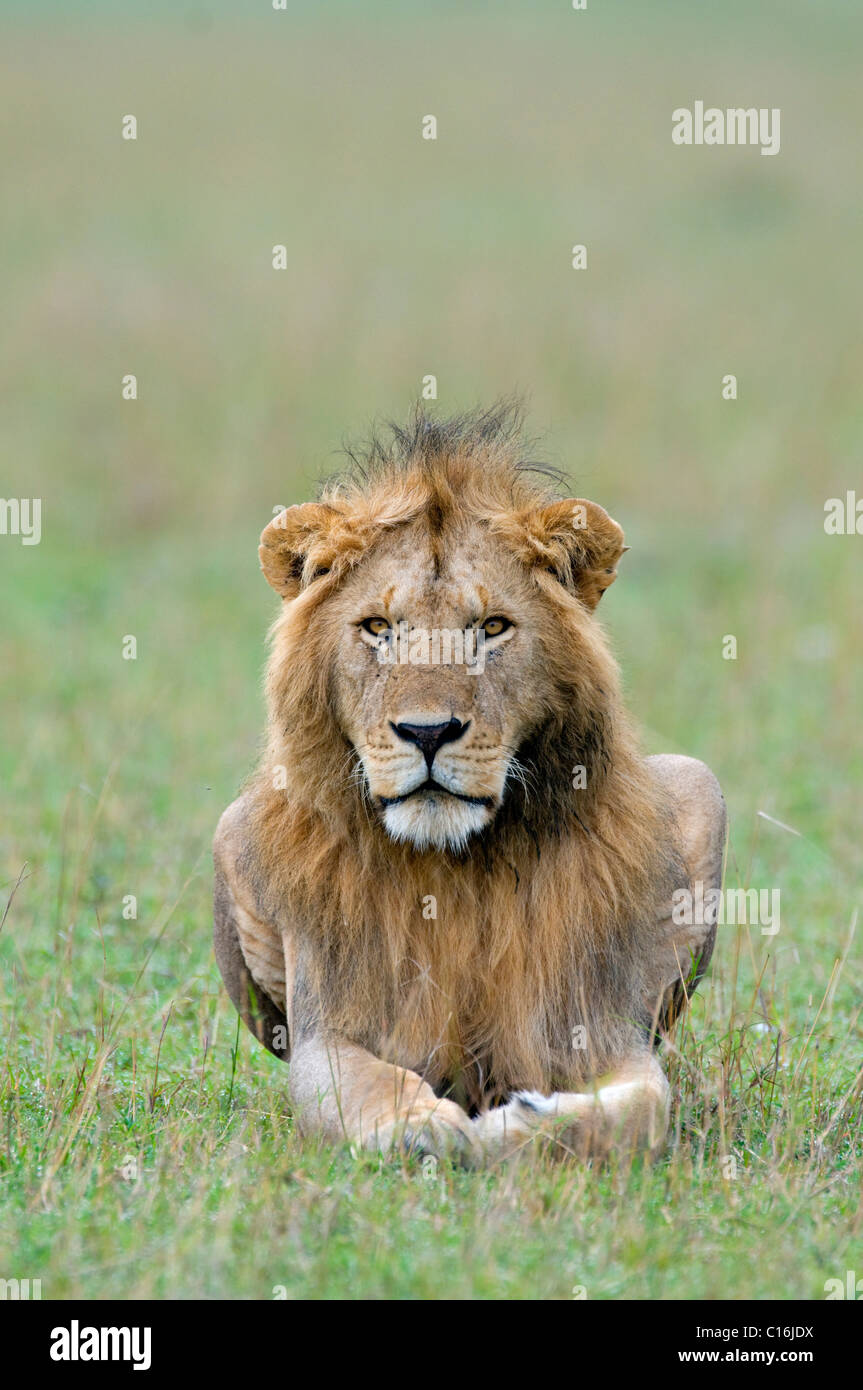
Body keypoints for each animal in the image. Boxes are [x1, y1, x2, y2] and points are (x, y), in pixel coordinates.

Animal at [212, 403, 722, 1162]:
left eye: (492, 626)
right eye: (377, 627)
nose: (427, 733)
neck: (456, 871)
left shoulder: (595, 1024)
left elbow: (642, 1108)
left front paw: (527, 1125)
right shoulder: (325, 1029)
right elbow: (361, 1086)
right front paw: (416, 1128)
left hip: (701, 785)